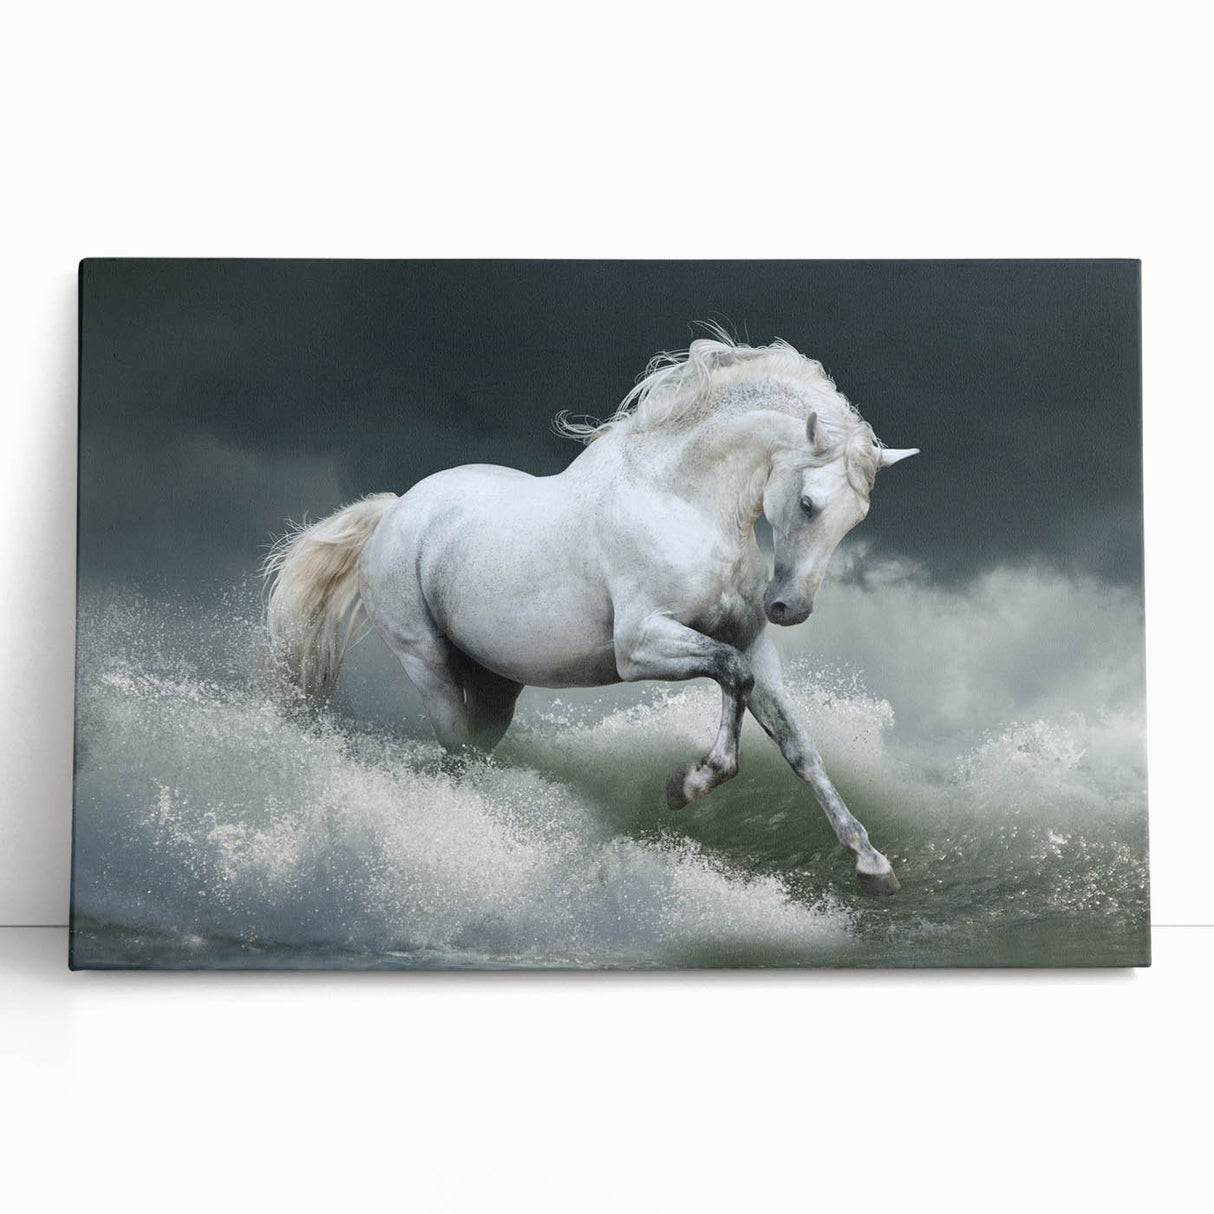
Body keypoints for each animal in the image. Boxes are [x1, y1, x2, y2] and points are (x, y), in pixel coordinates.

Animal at [264, 334, 918, 894]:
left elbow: (796, 743)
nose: (789, 608)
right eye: (807, 503)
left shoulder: (754, 642)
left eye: (856, 518)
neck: (679, 500)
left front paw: (871, 864)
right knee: (455, 751)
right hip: (427, 666)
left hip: (495, 687)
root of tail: (395, 510)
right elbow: (732, 675)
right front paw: (686, 786)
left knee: (476, 748)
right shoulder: (640, 646)